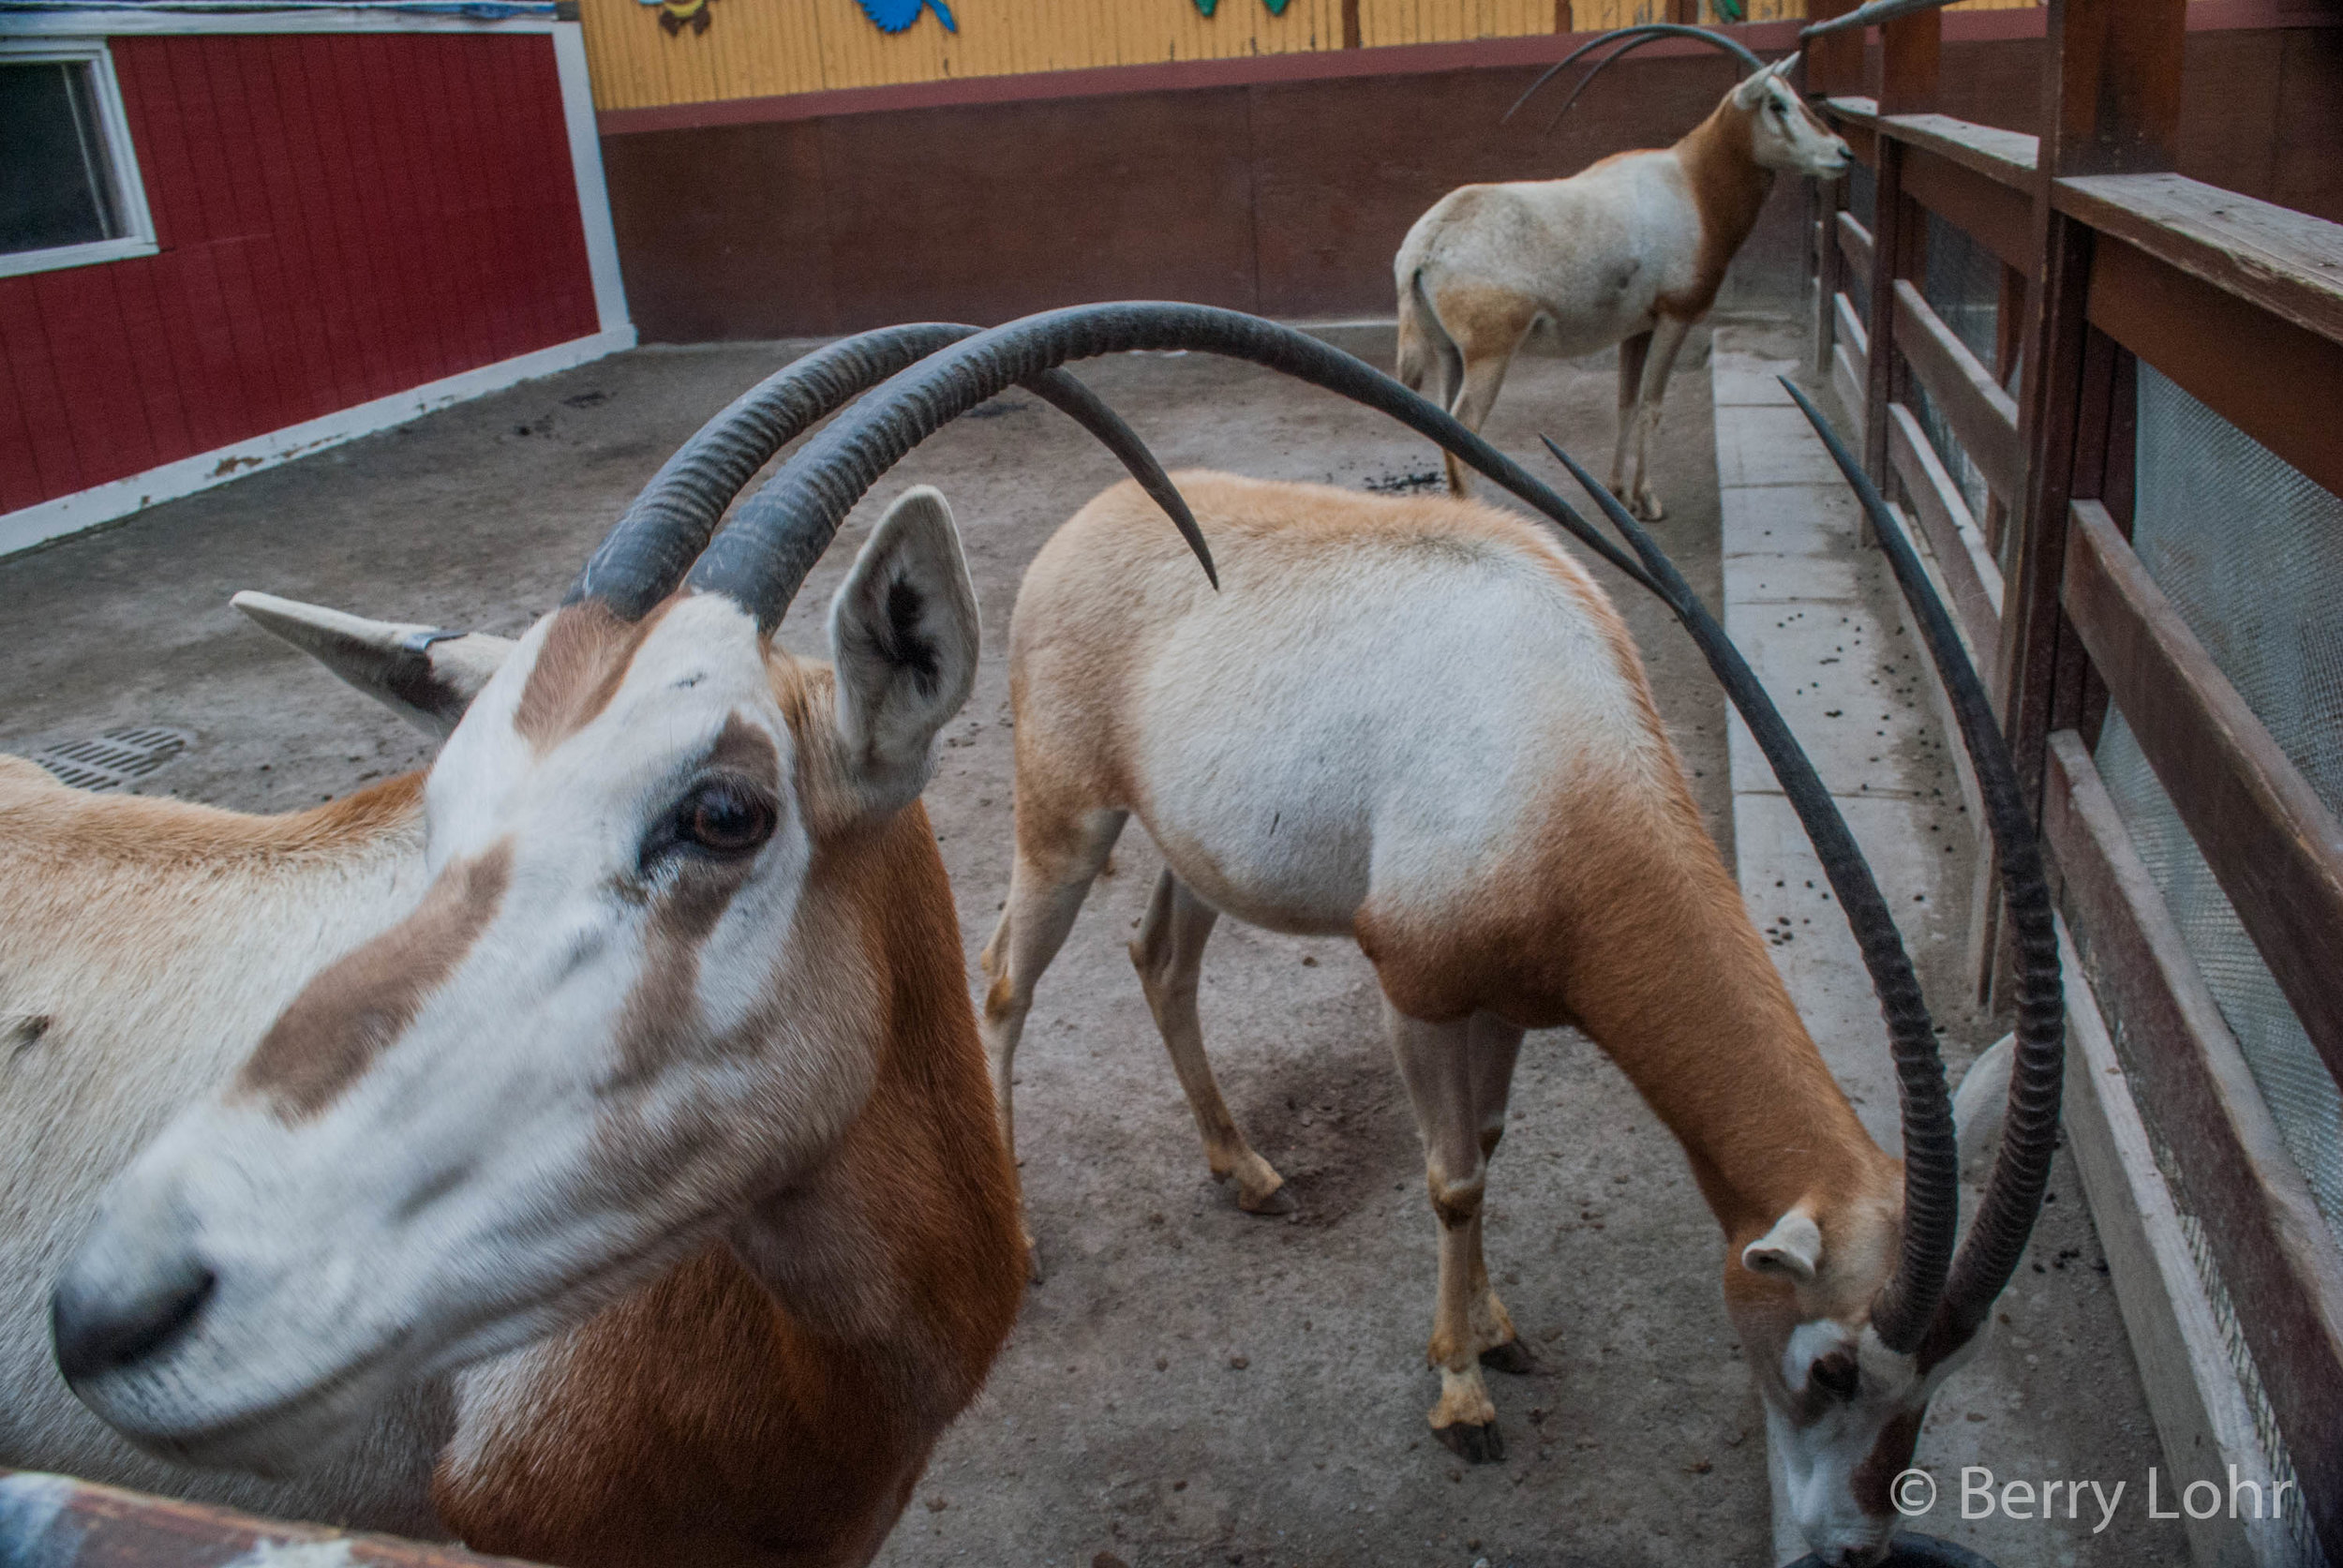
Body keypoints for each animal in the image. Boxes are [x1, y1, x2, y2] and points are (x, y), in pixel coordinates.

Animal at [1395, 29, 1849, 517]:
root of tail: (1427, 241)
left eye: (1798, 97)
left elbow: (1626, 402)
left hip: (1449, 352)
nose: (1843, 153)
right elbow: (1652, 404)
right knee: (1465, 427)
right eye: (1776, 104)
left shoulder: (1638, 328)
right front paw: (1647, 498)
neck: (1694, 186)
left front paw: (1616, 490)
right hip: (1490, 355)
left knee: (1445, 424)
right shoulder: (1676, 317)